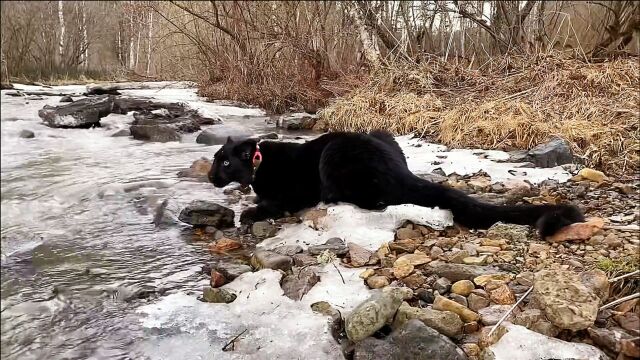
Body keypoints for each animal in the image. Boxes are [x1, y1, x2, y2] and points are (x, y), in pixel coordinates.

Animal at [210, 131, 584, 238]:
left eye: (225, 162)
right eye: (215, 160)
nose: (210, 176)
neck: (258, 165)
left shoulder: (293, 195)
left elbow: (268, 205)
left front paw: (248, 214)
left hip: (333, 154)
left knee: (373, 200)